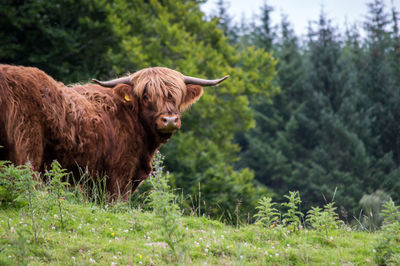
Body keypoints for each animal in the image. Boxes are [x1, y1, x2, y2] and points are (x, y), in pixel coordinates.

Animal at [0, 64, 228, 200]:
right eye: (146, 96)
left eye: (177, 95)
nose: (169, 120)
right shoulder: (120, 173)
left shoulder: (93, 179)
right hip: (27, 146)